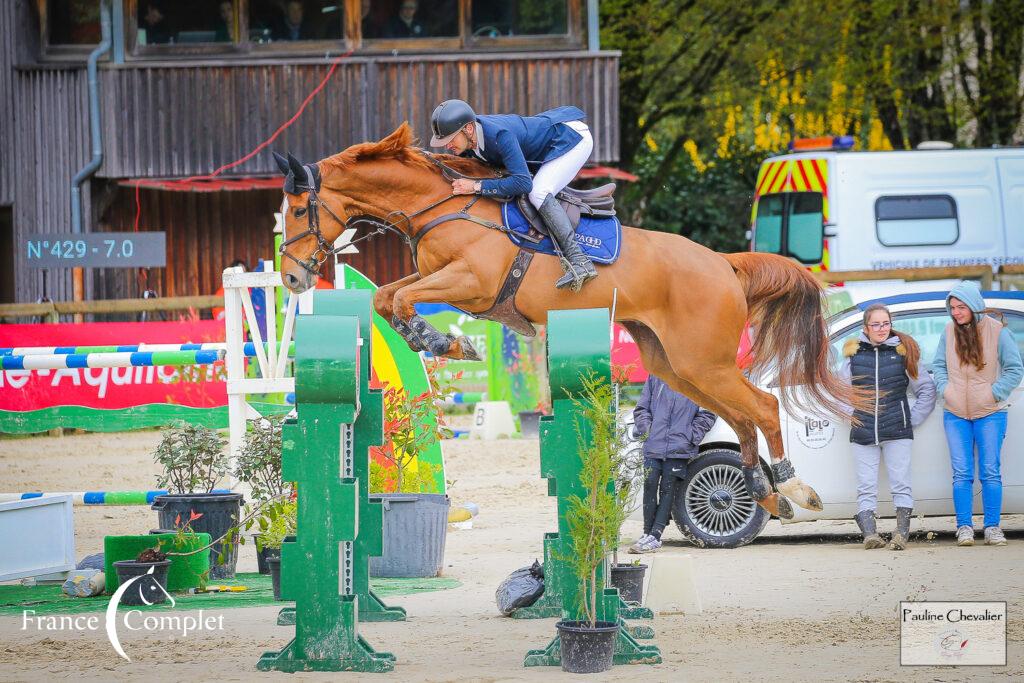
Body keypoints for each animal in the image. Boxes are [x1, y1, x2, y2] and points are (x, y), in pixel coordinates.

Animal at [274, 122, 864, 518]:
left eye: (298, 210)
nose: (293, 280)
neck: (441, 204)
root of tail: (723, 262)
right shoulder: (438, 279)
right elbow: (386, 299)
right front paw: (443, 342)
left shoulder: (471, 283)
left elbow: (401, 301)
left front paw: (445, 343)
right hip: (676, 364)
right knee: (739, 417)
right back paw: (766, 494)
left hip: (704, 360)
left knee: (761, 406)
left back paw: (793, 490)